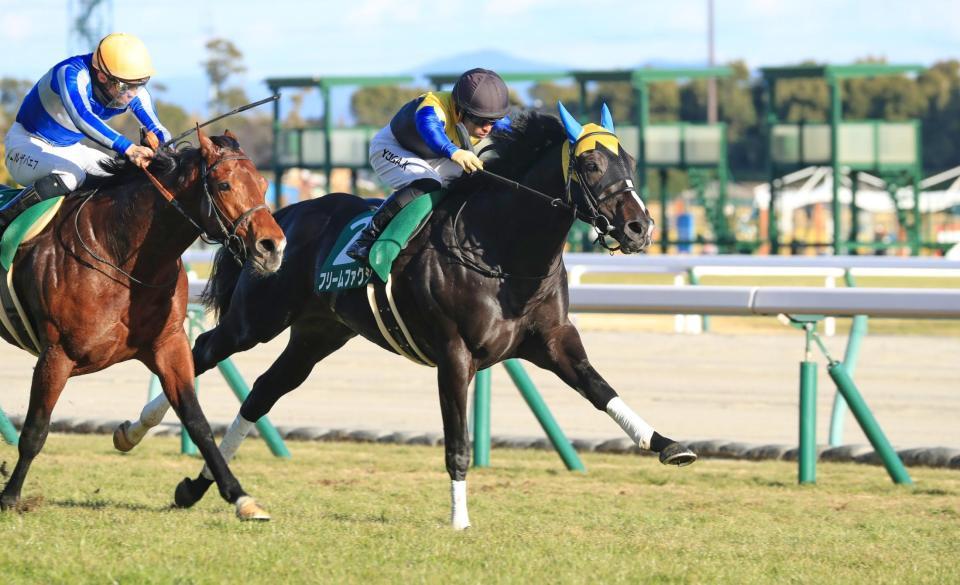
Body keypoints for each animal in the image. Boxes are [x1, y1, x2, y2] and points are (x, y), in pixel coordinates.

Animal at [0, 130, 284, 516]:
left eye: (264, 184)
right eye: (224, 184)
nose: (273, 247)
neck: (119, 254)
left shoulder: (168, 345)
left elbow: (197, 421)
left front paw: (238, 496)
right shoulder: (57, 354)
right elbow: (35, 430)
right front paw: (10, 496)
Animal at [116, 105, 692, 528]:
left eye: (630, 162)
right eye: (592, 167)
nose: (640, 228)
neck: (502, 252)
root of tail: (279, 216)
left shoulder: (552, 340)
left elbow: (601, 390)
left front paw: (668, 445)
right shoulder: (454, 355)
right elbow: (458, 441)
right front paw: (460, 520)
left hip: (318, 335)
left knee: (262, 392)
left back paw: (194, 487)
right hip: (257, 321)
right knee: (203, 351)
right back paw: (135, 428)